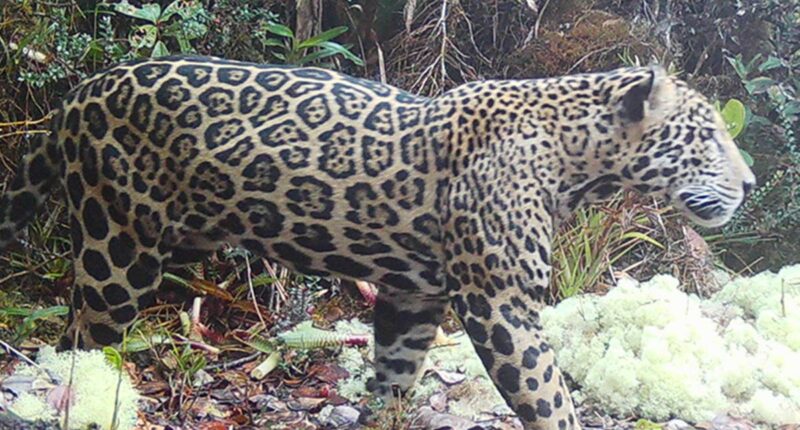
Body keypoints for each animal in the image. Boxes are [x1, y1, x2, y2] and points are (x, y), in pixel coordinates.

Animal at [0, 55, 755, 429]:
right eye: (708, 136)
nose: (749, 184)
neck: (576, 159)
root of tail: (75, 96)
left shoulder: (412, 297)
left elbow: (395, 377)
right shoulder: (500, 303)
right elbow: (550, 398)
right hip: (118, 250)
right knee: (80, 345)